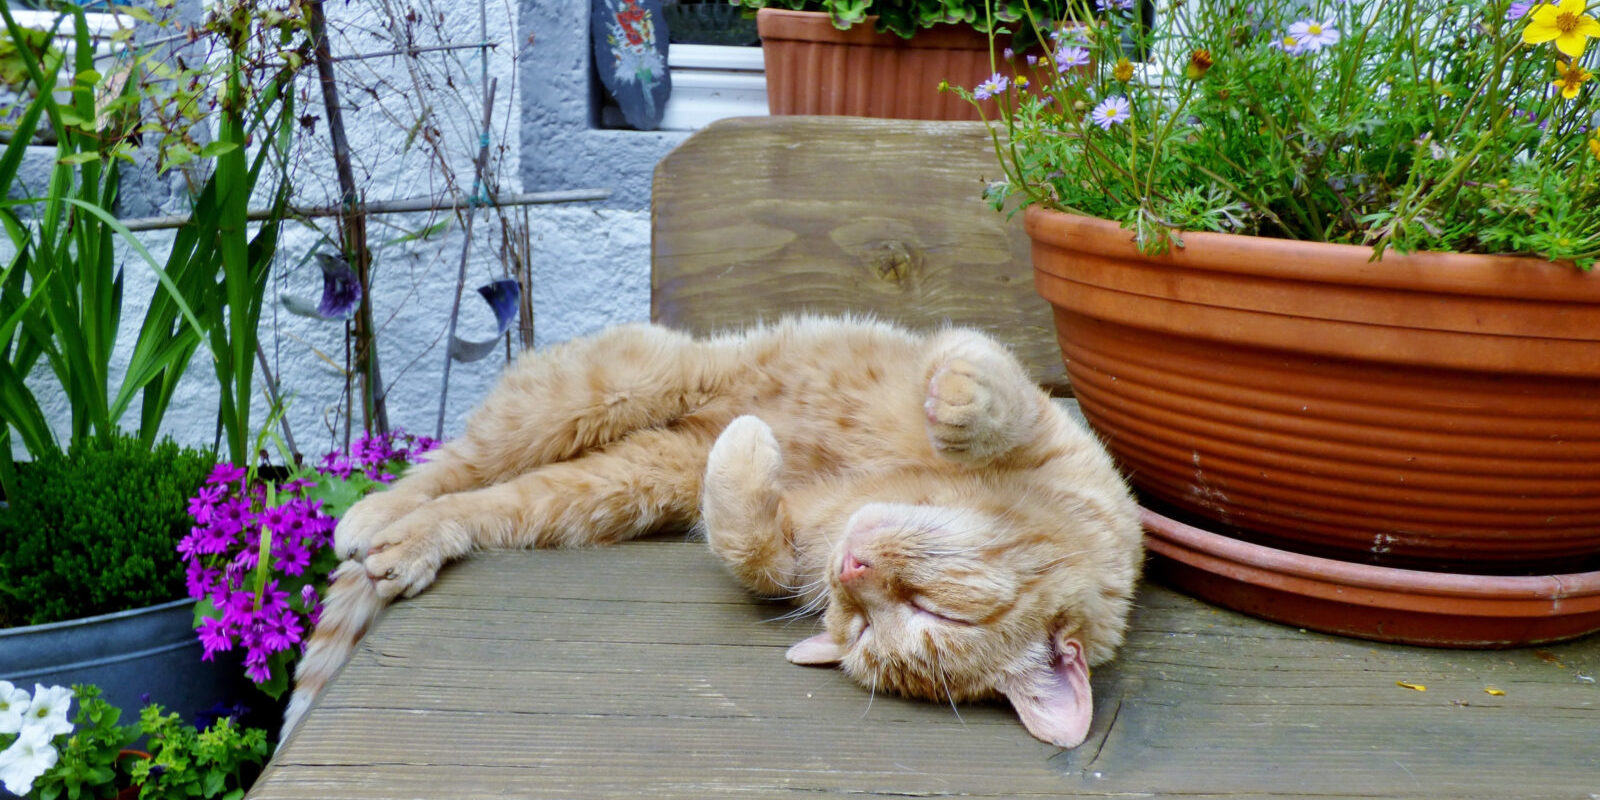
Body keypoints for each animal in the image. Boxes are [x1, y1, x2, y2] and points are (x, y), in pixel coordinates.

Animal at [284, 316, 1139, 748]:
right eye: (941, 611)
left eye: (872, 627)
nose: (853, 566)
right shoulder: (1040, 420)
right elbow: (989, 388)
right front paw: (957, 408)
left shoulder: (791, 548)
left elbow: (748, 545)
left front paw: (751, 456)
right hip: (611, 383)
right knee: (457, 460)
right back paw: (371, 514)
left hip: (610, 488)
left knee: (489, 499)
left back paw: (405, 544)